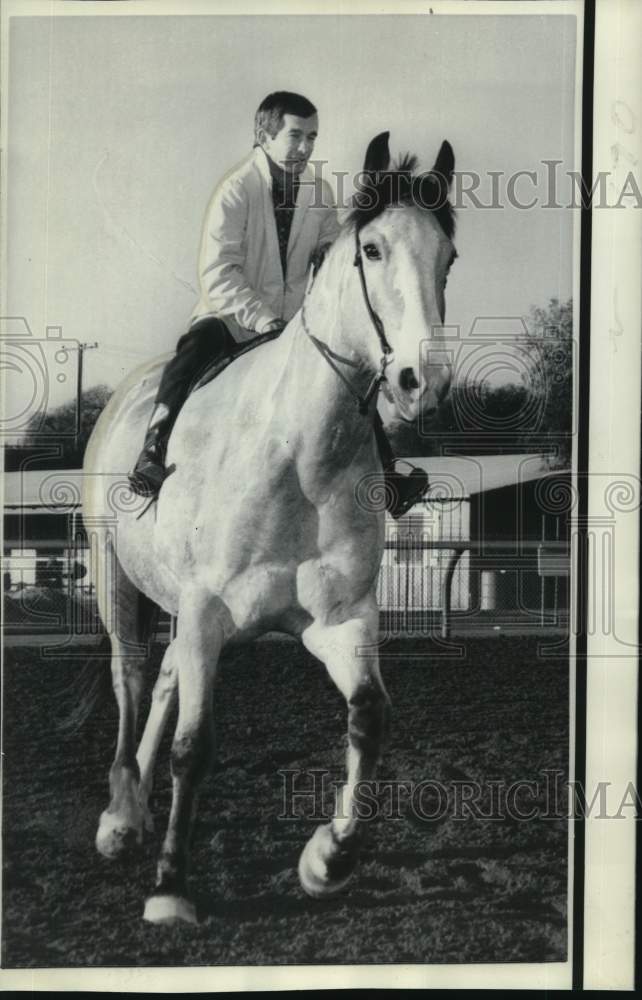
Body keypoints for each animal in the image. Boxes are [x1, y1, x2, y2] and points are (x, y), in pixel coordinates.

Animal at [82, 129, 456, 924]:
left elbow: (370, 717)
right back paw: (122, 818)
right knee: (131, 678)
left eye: (448, 255)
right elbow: (195, 746)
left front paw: (328, 858)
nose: (423, 382)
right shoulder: (204, 611)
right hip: (116, 580)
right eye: (372, 248)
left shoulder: (339, 620)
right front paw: (171, 888)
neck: (300, 455)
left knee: (162, 679)